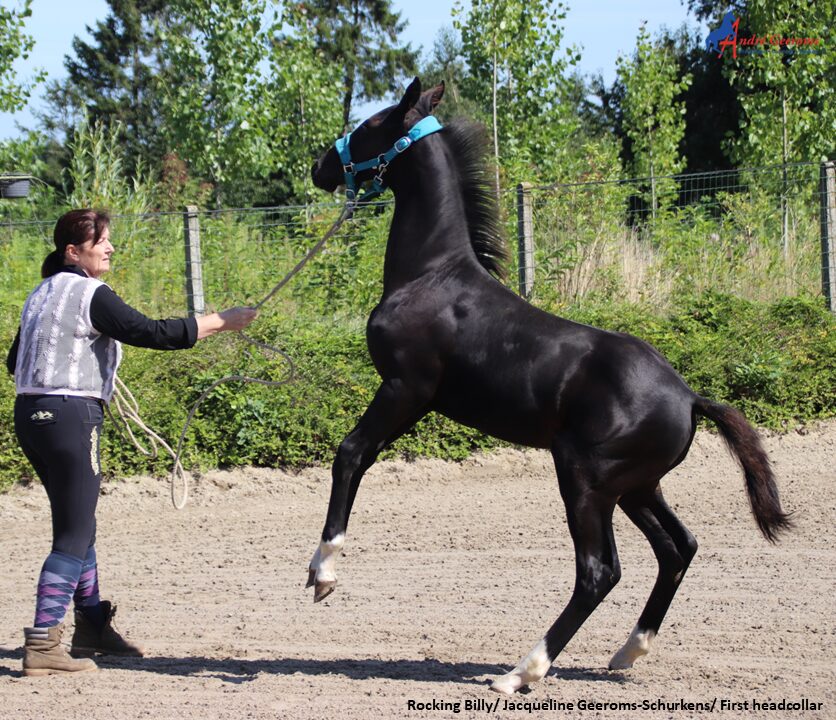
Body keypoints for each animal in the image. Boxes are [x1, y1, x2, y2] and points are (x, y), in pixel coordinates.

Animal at [308, 77, 792, 692]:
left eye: (371, 124)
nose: (322, 165)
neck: (430, 274)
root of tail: (689, 398)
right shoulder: (414, 400)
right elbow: (359, 456)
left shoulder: (404, 389)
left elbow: (351, 454)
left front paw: (323, 572)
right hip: (636, 487)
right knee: (678, 547)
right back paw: (628, 651)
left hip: (586, 482)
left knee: (599, 571)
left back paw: (520, 672)